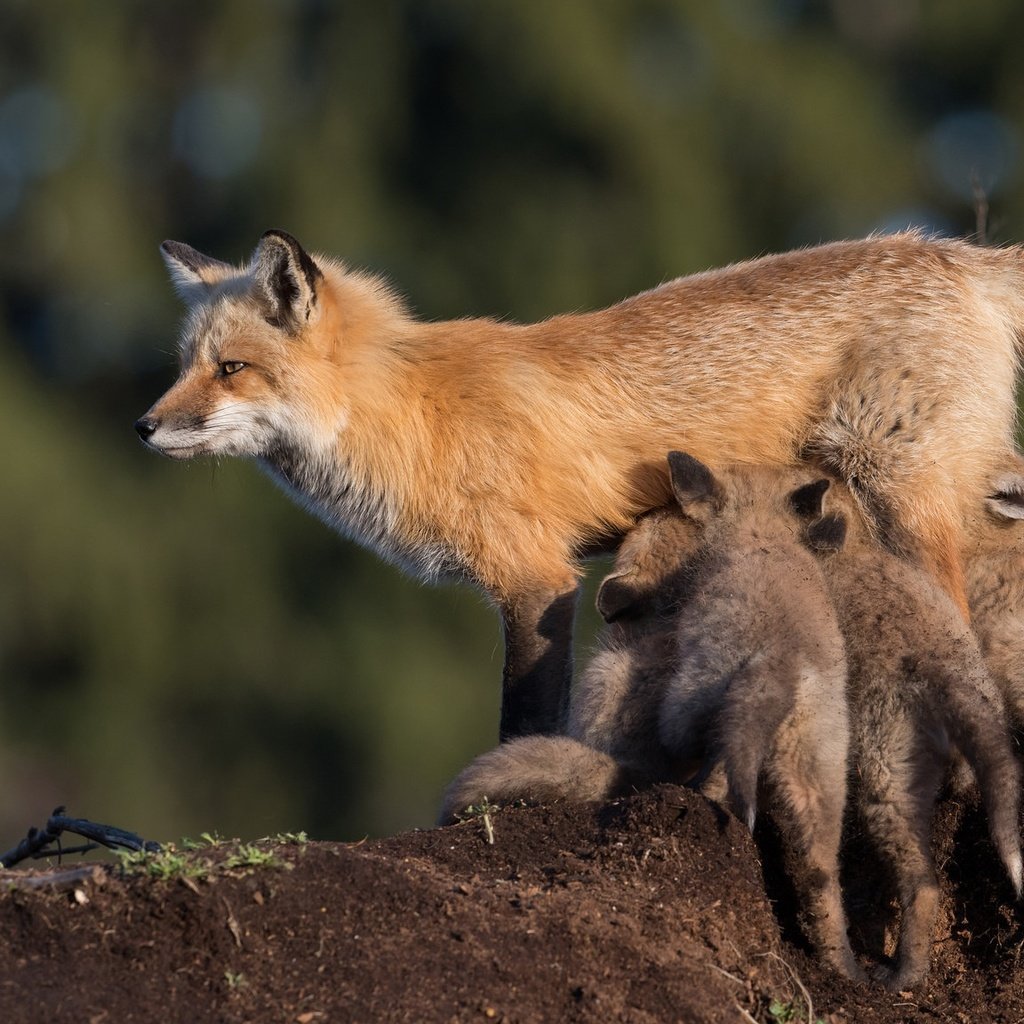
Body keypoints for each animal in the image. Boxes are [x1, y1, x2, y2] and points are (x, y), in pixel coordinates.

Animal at [138, 228, 1024, 741]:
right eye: (183, 366)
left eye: (231, 370)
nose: (143, 426)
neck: (411, 412)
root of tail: (957, 253)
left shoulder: (534, 576)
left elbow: (524, 717)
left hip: (904, 494)